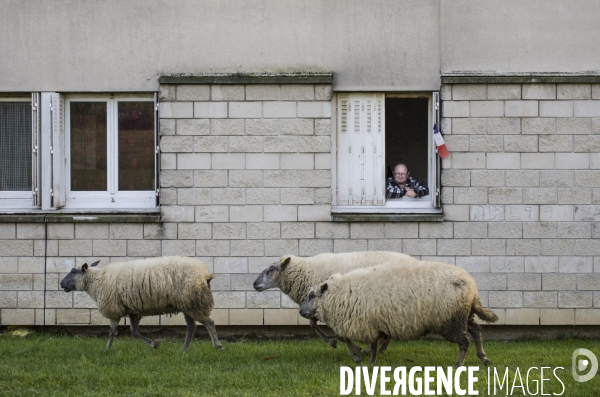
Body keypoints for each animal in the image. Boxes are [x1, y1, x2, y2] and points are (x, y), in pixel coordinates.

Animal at [59, 254, 224, 350]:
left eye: (73, 271)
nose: (61, 284)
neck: (97, 281)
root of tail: (205, 274)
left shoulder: (114, 309)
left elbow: (112, 331)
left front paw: (107, 349)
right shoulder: (133, 311)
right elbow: (134, 332)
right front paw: (154, 344)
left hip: (195, 302)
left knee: (209, 323)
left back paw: (218, 346)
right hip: (188, 304)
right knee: (191, 327)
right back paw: (184, 349)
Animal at [298, 260, 500, 366]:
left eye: (311, 295)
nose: (300, 311)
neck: (340, 293)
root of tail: (472, 288)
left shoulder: (363, 323)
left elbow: (349, 339)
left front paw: (363, 358)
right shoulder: (369, 323)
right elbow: (356, 340)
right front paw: (364, 355)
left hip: (451, 319)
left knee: (465, 340)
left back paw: (458, 365)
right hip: (462, 315)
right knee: (475, 330)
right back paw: (483, 357)